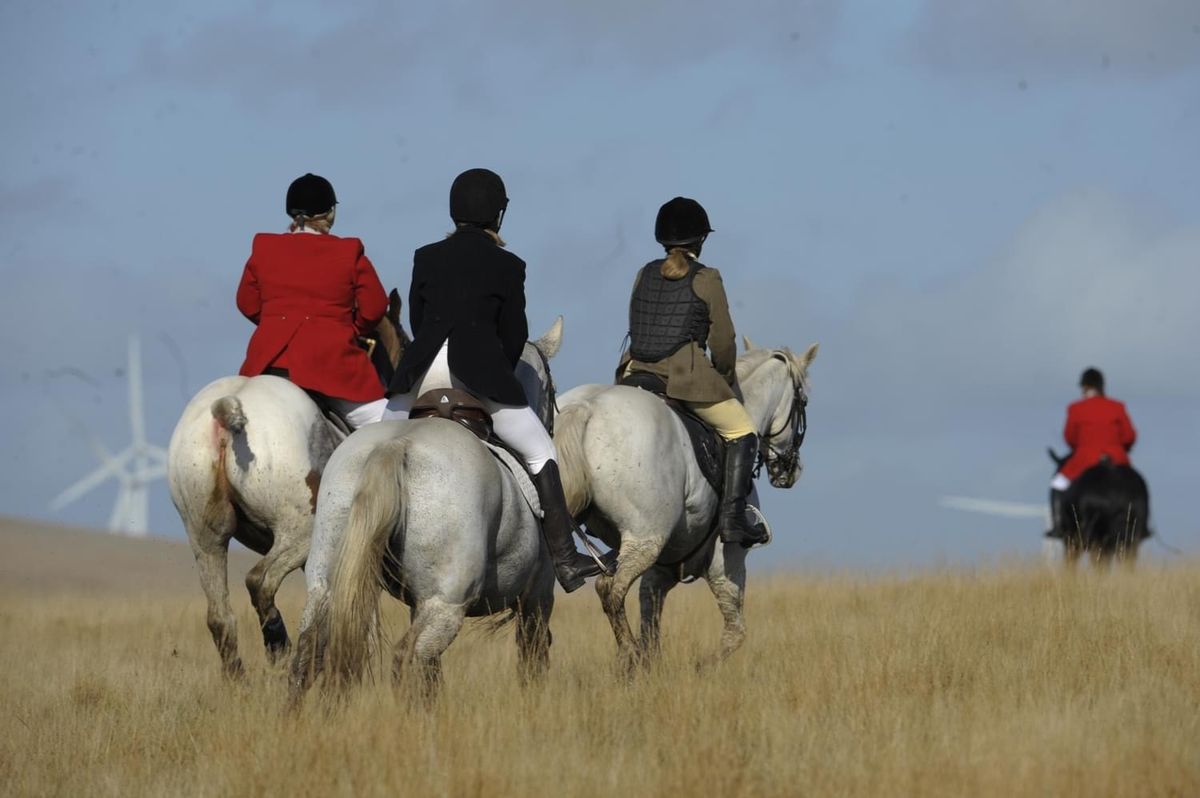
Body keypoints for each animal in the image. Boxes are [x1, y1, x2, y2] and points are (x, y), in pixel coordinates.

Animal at [291, 321, 566, 700]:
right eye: (552, 388)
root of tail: (396, 445)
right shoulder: (538, 596)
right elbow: (533, 661)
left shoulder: (417, 602)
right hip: (446, 604)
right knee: (409, 659)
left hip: (327, 584)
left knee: (309, 651)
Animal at [552, 338, 816, 672]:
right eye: (802, 401)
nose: (790, 471)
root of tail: (586, 406)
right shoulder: (725, 562)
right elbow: (735, 633)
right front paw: (702, 667)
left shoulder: (659, 574)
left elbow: (652, 634)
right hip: (645, 541)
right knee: (609, 588)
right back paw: (628, 654)